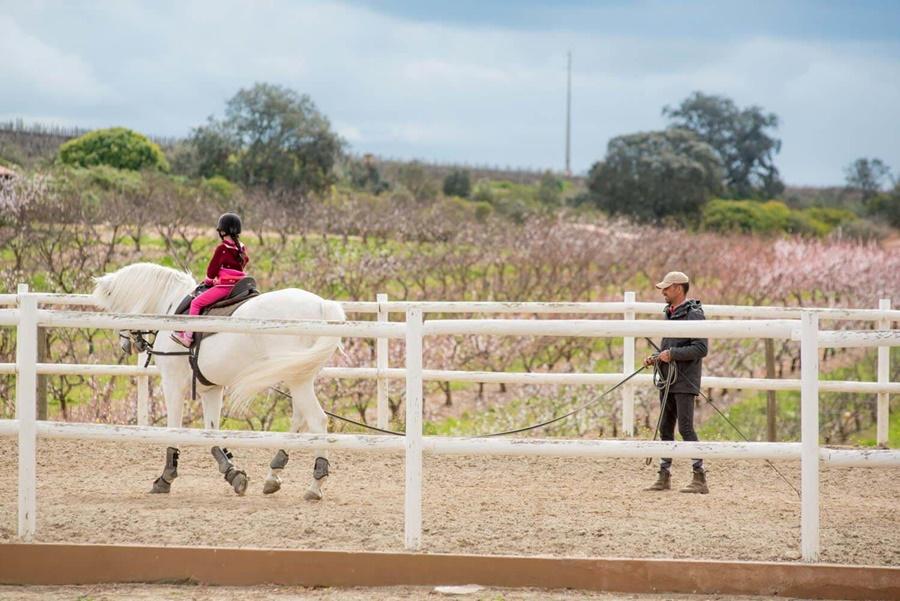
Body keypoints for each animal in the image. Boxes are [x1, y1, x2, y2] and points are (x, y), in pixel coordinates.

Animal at [91, 260, 344, 500]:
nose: (126, 344)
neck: (170, 309)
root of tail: (322, 305)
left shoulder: (172, 384)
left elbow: (175, 429)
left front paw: (165, 479)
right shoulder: (210, 389)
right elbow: (211, 433)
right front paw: (233, 474)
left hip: (298, 380)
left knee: (317, 420)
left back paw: (315, 485)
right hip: (299, 376)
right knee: (300, 420)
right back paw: (274, 474)